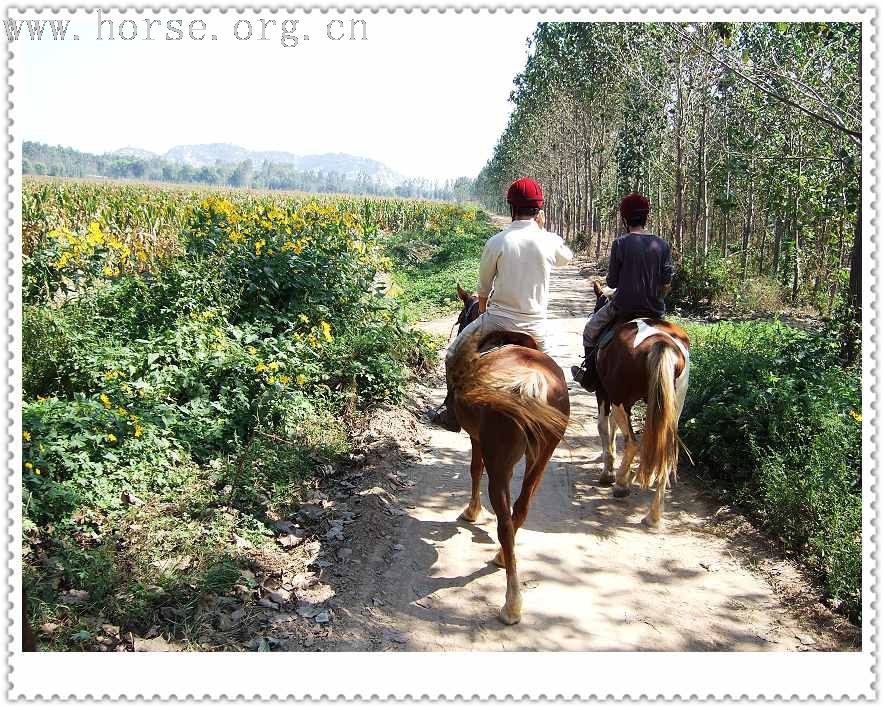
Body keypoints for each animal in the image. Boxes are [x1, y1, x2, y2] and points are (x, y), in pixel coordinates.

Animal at [452, 284, 568, 624]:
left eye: (463, 318)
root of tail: (531, 383)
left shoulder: (476, 438)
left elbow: (474, 469)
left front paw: (471, 511)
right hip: (543, 455)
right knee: (523, 505)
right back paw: (502, 557)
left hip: (500, 462)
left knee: (504, 522)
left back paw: (511, 603)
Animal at [592, 280, 692, 528]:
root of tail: (662, 343)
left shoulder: (604, 392)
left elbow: (603, 426)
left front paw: (608, 470)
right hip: (673, 404)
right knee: (665, 451)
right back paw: (653, 516)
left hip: (620, 399)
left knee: (632, 442)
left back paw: (620, 484)